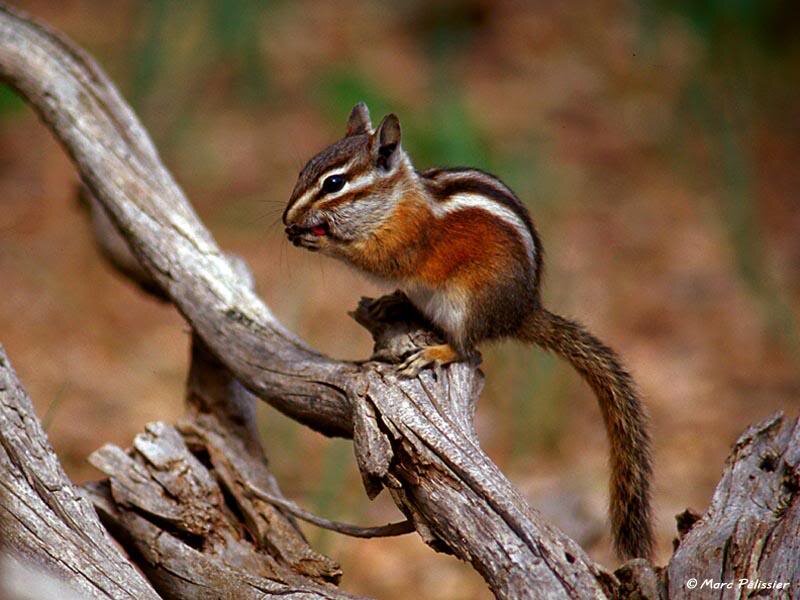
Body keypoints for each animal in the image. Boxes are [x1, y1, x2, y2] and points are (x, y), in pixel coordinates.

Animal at [283, 102, 653, 560]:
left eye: (334, 183)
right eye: (305, 169)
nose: (288, 218)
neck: (398, 200)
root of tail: (521, 312)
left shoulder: (404, 240)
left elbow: (377, 259)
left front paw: (320, 241)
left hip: (465, 305)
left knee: (470, 351)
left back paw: (435, 352)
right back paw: (396, 303)